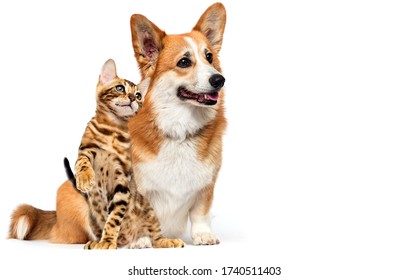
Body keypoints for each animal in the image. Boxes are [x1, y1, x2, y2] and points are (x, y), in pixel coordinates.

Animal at [64, 59, 184, 249]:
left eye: (139, 95)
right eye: (120, 88)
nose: (132, 98)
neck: (112, 130)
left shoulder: (122, 181)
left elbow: (113, 219)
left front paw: (107, 241)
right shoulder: (86, 150)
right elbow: (82, 163)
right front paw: (85, 179)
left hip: (149, 211)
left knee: (155, 237)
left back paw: (164, 241)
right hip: (92, 218)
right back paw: (97, 242)